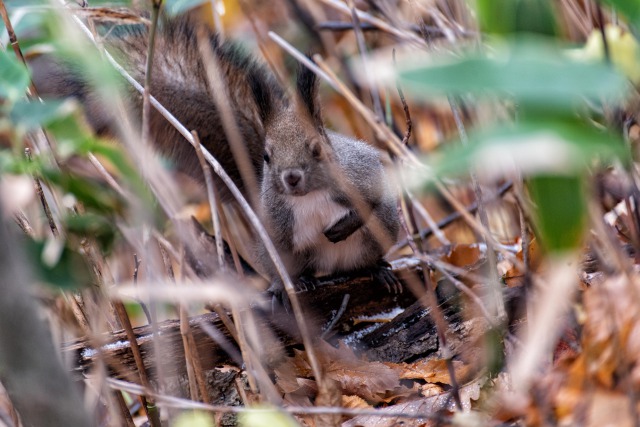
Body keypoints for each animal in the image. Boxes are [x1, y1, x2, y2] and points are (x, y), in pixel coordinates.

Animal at [31, 15, 400, 302]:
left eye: (317, 149)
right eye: (266, 156)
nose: (291, 177)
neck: (310, 196)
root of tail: (333, 267)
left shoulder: (360, 170)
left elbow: (376, 199)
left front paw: (346, 224)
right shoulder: (273, 219)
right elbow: (275, 249)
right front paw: (280, 286)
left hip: (378, 234)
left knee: (372, 247)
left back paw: (378, 270)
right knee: (294, 265)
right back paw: (298, 282)